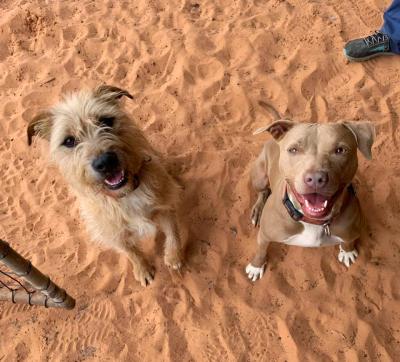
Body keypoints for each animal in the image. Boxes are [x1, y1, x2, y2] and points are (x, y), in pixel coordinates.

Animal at [27, 85, 183, 286]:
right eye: (69, 141)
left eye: (106, 120)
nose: (105, 162)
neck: (125, 195)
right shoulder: (112, 233)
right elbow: (130, 252)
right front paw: (142, 269)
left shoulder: (165, 206)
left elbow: (173, 232)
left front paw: (173, 257)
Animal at [247, 120, 376, 282]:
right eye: (293, 150)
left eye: (340, 150)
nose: (315, 178)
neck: (314, 222)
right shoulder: (265, 235)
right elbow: (261, 250)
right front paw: (256, 266)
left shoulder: (352, 231)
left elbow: (348, 241)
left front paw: (347, 251)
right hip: (260, 177)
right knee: (262, 191)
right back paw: (258, 210)